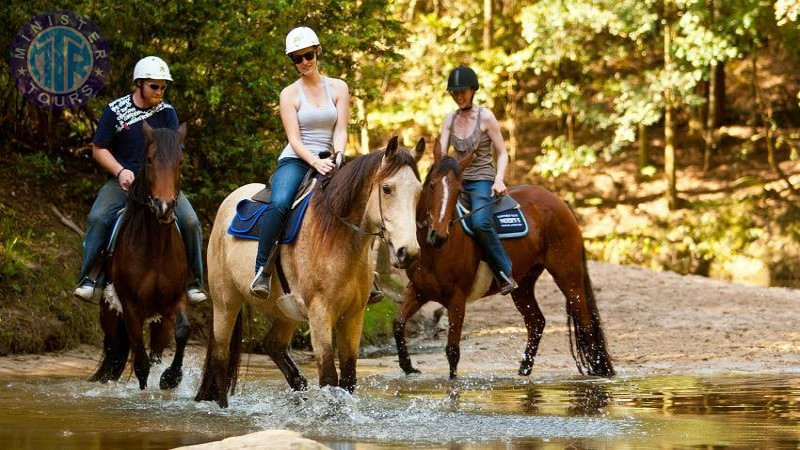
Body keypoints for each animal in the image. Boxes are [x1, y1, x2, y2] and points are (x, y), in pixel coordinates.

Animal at [88, 123, 192, 390]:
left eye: (180, 161)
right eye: (149, 160)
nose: (164, 207)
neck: (155, 248)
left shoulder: (174, 300)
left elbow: (183, 331)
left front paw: (171, 378)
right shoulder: (131, 308)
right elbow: (141, 365)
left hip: (159, 321)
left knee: (153, 352)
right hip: (110, 313)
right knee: (116, 350)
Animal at [196, 137, 422, 408]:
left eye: (419, 192)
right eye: (387, 189)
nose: (407, 252)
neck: (337, 237)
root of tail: (227, 204)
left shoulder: (353, 316)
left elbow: (348, 379)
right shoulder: (320, 314)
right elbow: (329, 378)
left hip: (285, 310)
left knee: (272, 345)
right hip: (225, 302)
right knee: (220, 356)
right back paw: (222, 407)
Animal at [392, 145, 612, 380]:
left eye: (459, 191)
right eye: (432, 185)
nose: (439, 236)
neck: (434, 252)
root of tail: (560, 203)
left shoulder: (457, 299)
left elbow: (452, 351)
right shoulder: (418, 290)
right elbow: (398, 324)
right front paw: (407, 366)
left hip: (568, 276)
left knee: (585, 321)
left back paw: (598, 369)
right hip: (523, 284)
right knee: (536, 322)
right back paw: (524, 370)